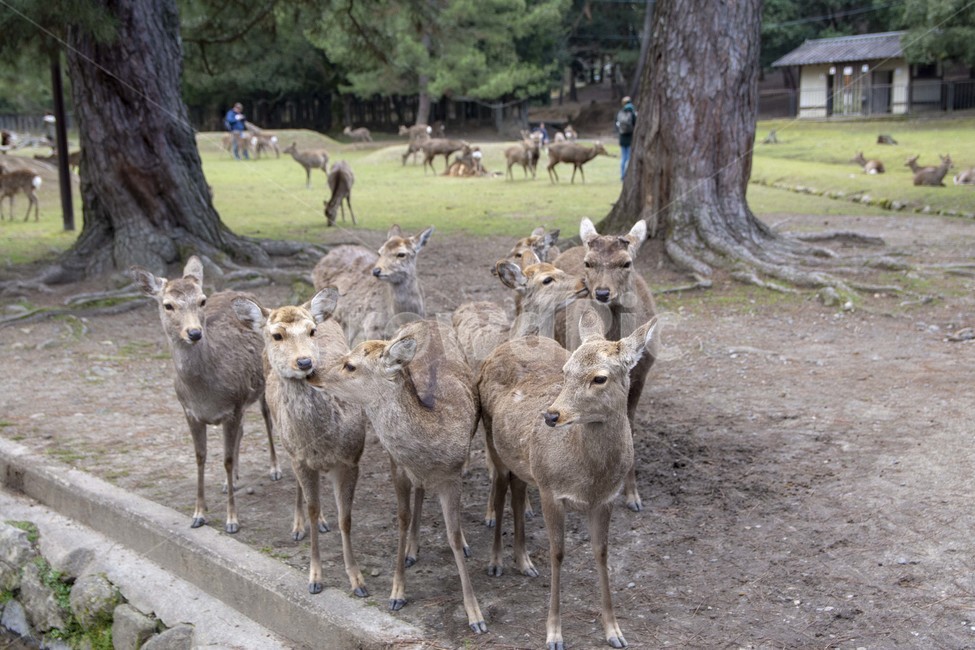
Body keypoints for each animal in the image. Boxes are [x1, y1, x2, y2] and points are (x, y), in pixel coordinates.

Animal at [130, 256, 281, 534]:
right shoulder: (191, 412)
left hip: (263, 384)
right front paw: (199, 514)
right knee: (243, 430)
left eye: (202, 300)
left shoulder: (233, 406)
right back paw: (231, 482)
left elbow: (227, 459)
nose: (194, 333)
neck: (205, 393)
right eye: (167, 305)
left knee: (266, 418)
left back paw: (274, 469)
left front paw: (232, 520)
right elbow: (200, 458)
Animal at [232, 288, 370, 598]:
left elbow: (346, 518)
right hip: (286, 441)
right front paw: (315, 578)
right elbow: (312, 508)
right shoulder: (301, 459)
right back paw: (298, 527)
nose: (305, 362)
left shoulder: (351, 458)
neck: (323, 441)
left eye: (311, 331)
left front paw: (358, 581)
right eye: (277, 335)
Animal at [305, 319, 487, 635]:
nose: (311, 372)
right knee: (420, 491)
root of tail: (428, 321)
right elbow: (401, 521)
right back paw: (412, 549)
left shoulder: (452, 476)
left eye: (350, 365)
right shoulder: (397, 466)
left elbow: (452, 536)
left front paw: (475, 615)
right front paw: (397, 593)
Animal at [479, 311, 657, 650]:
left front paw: (614, 631)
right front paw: (554, 634)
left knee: (517, 489)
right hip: (492, 438)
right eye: (565, 371)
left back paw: (524, 562)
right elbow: (557, 554)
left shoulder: (606, 499)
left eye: (600, 378)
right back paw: (495, 562)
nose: (551, 416)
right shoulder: (551, 490)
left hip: (524, 460)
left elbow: (602, 553)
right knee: (499, 486)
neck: (589, 479)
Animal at [552, 218, 658, 513]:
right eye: (588, 263)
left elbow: (629, 425)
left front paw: (633, 496)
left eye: (626, 263)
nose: (601, 292)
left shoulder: (641, 376)